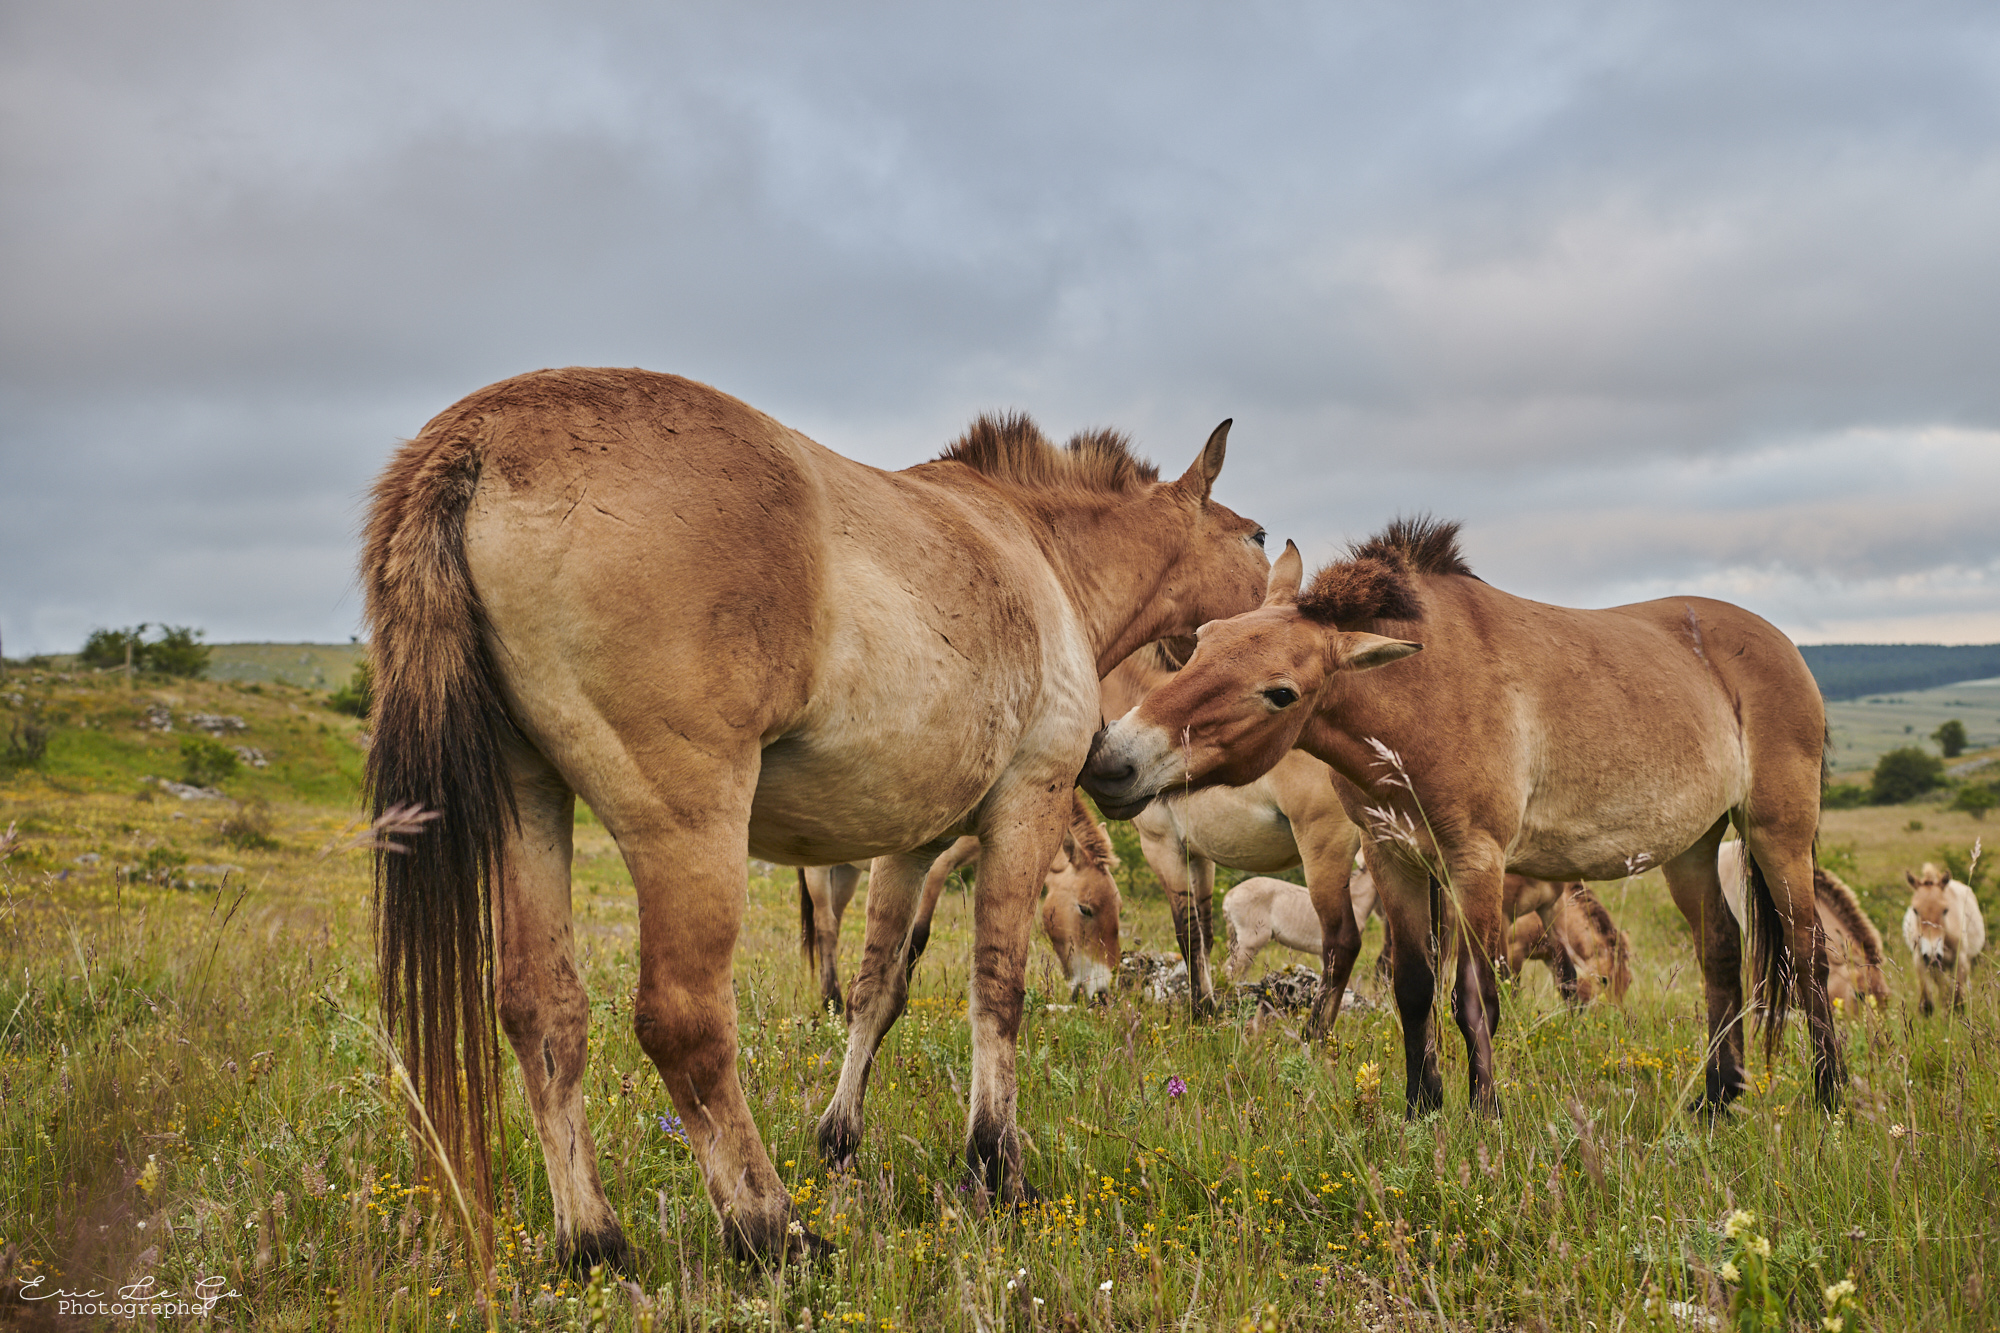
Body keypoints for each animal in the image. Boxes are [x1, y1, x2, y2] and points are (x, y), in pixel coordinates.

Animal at [799, 790, 1123, 1009]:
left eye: (1118, 910)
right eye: (1085, 909)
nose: (1102, 993)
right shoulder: (935, 867)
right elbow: (918, 937)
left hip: (846, 871)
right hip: (819, 870)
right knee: (826, 928)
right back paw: (832, 1001)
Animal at [1101, 640, 1366, 1033]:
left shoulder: (1162, 848)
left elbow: (1188, 934)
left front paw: (1201, 1010)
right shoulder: (1198, 856)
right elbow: (1205, 934)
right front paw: (1207, 1006)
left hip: (1325, 853)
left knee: (1341, 942)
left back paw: (1316, 1035)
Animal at [1902, 862, 1986, 1014]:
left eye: (1945, 910)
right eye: (1915, 910)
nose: (1932, 954)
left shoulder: (1960, 960)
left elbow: (1957, 999)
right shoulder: (1922, 961)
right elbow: (1930, 1002)